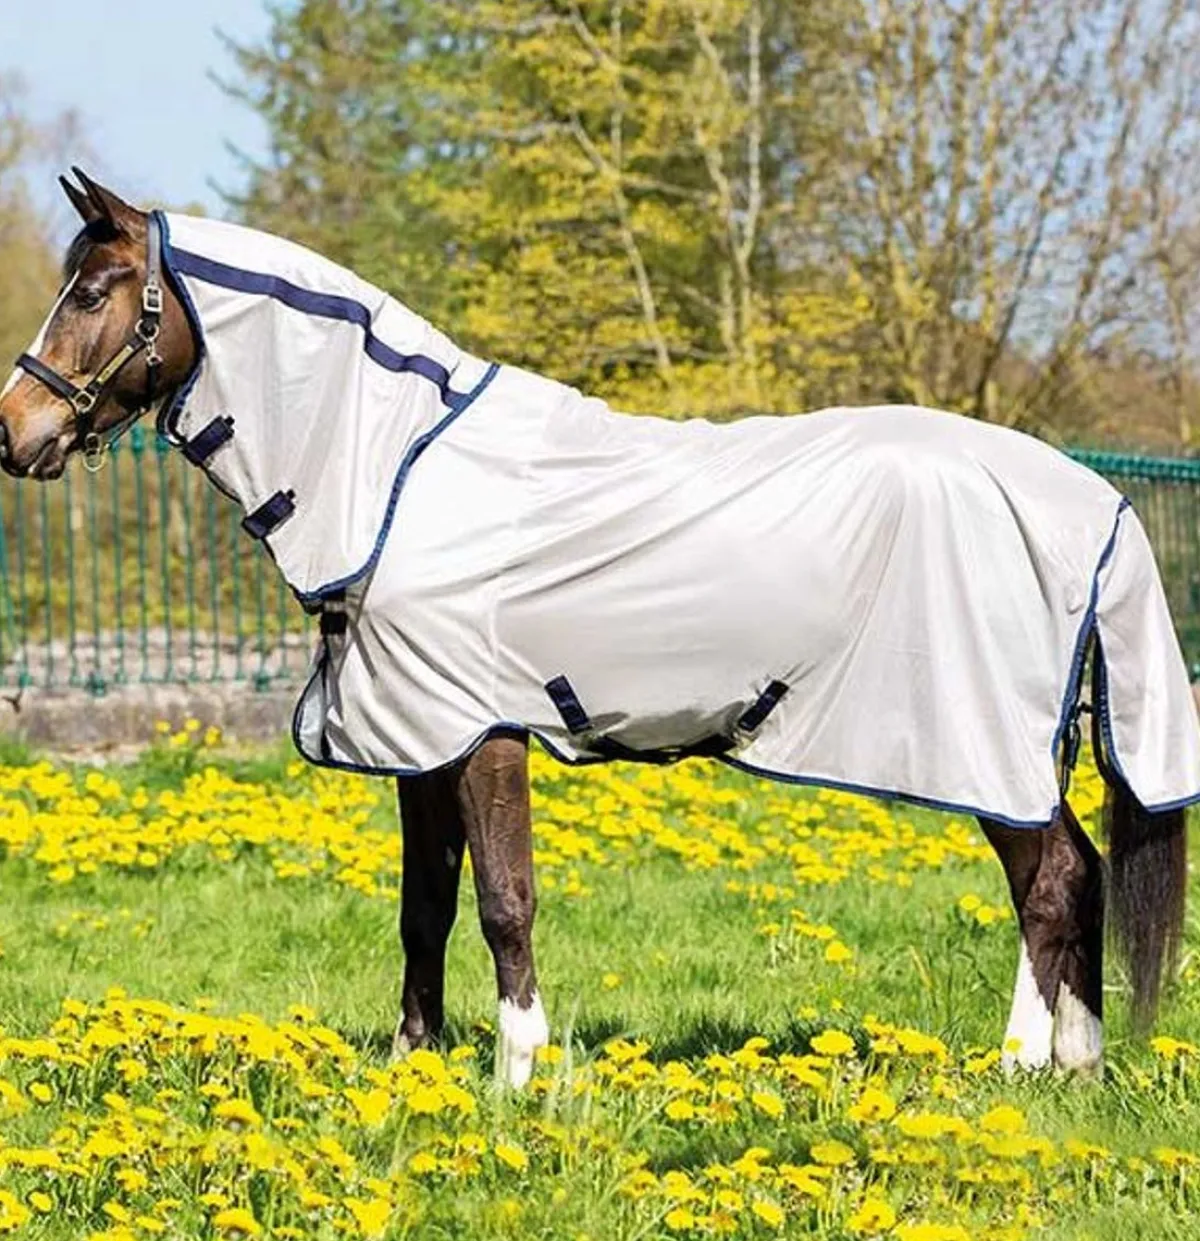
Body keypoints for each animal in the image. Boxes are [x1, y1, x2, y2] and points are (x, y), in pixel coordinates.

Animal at [1, 171, 1197, 1088]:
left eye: (97, 290)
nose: (15, 431)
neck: (400, 471)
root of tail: (1091, 497)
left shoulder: (481, 731)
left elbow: (504, 901)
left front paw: (519, 1071)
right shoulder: (419, 738)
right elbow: (424, 908)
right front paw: (416, 1066)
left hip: (984, 745)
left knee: (1051, 882)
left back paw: (1020, 1064)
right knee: (1078, 873)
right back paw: (1077, 1063)